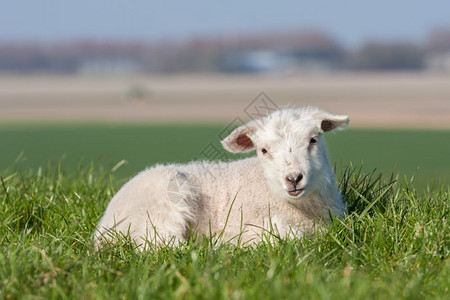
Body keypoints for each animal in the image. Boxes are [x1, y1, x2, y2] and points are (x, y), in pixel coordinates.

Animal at [94, 106, 348, 248]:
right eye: (264, 150)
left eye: (313, 140)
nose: (293, 178)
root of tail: (102, 229)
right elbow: (289, 235)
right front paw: (228, 242)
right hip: (162, 206)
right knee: (159, 245)